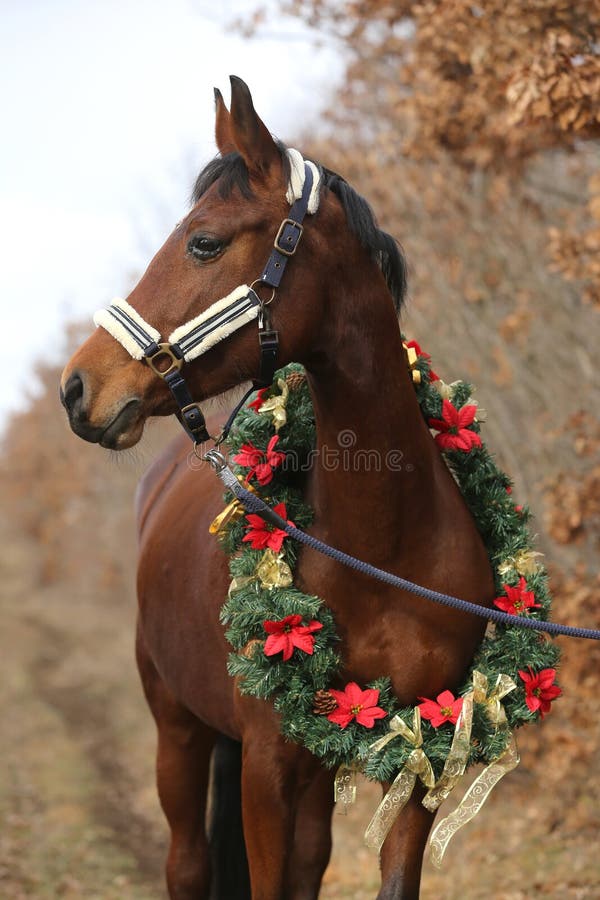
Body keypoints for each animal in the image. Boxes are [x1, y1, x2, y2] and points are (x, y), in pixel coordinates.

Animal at [58, 77, 494, 900]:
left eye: (203, 242)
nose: (77, 387)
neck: (384, 551)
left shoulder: (420, 759)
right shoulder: (265, 765)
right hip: (178, 728)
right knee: (188, 864)